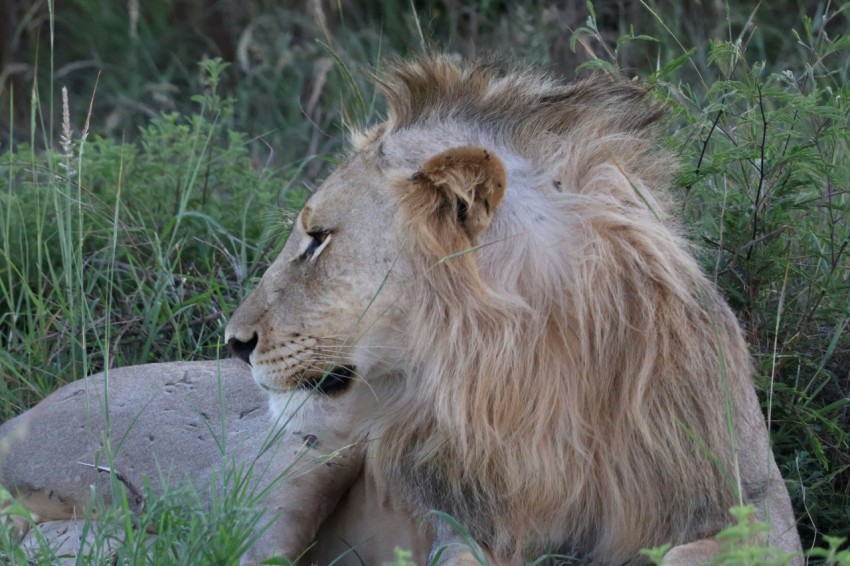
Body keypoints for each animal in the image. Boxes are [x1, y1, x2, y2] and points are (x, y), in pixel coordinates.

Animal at [222, 54, 800, 566]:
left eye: (318, 240)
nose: (234, 343)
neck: (535, 372)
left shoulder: (757, 496)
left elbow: (699, 549)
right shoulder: (468, 521)